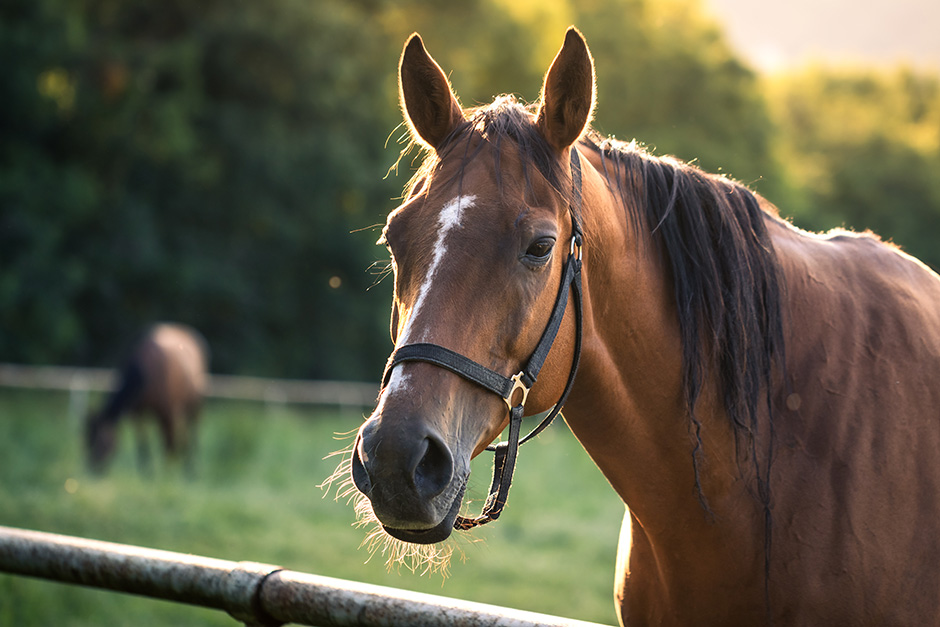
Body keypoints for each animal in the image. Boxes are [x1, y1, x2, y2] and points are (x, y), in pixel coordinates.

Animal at [85, 324, 208, 476]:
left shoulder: (166, 413)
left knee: (192, 434)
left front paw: (168, 474)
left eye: (102, 442)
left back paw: (191, 470)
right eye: (86, 441)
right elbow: (142, 443)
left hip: (194, 406)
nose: (93, 471)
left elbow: (169, 443)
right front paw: (146, 472)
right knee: (182, 438)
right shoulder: (137, 414)